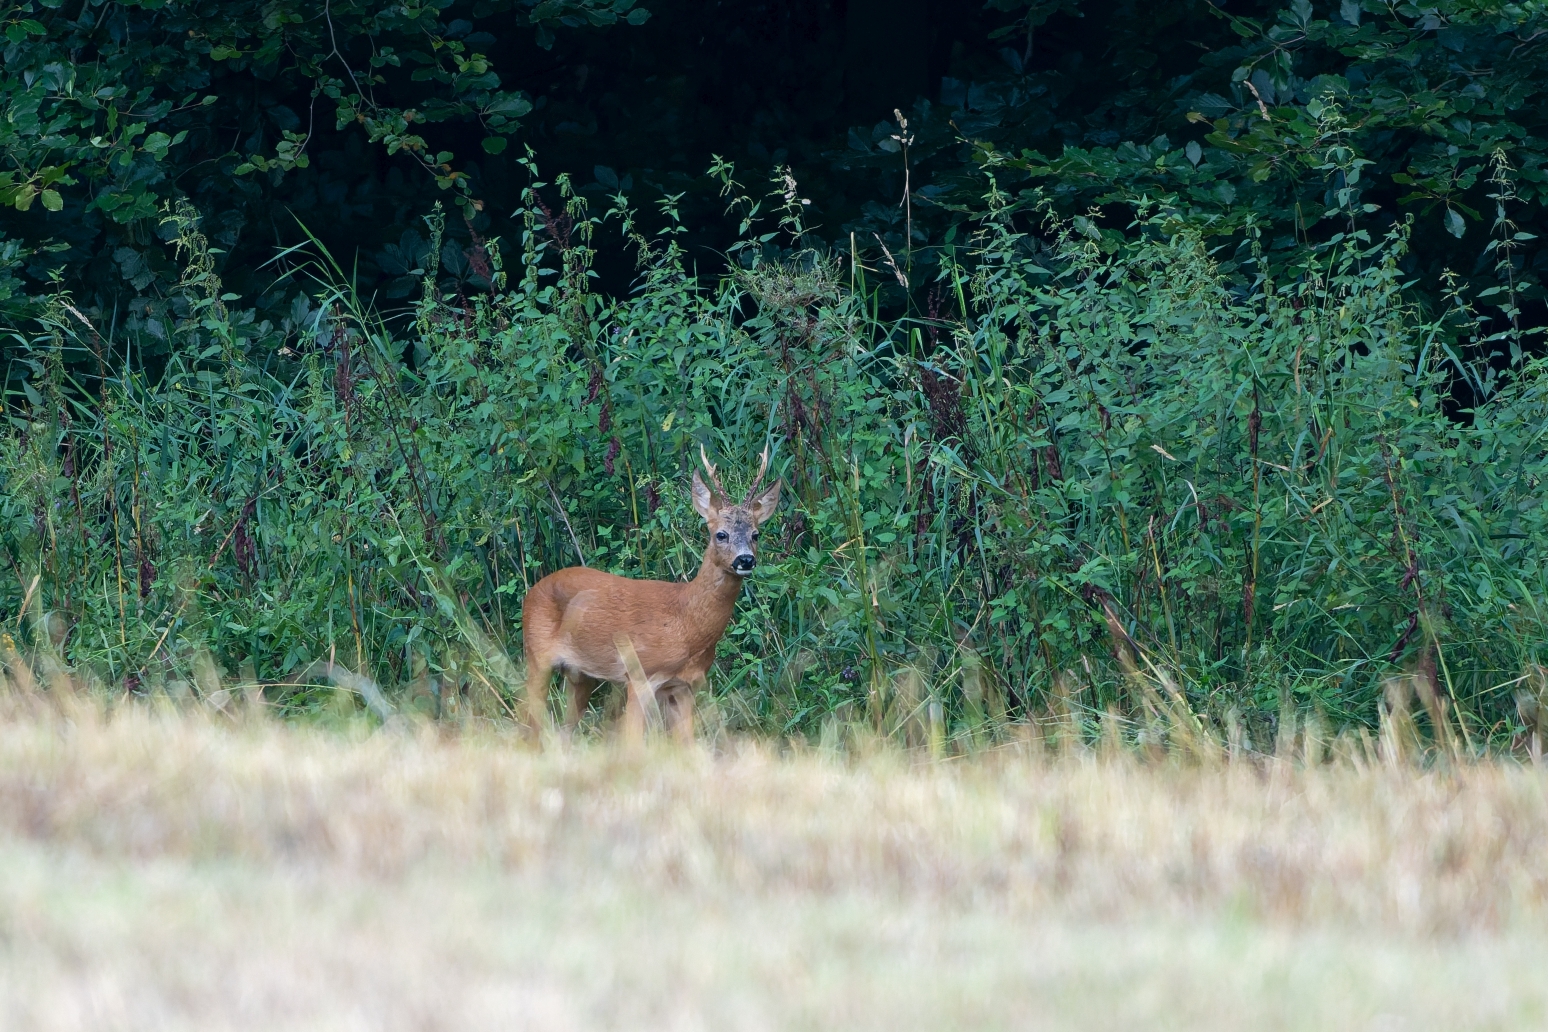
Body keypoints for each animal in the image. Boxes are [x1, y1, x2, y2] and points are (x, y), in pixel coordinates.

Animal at [521, 447, 781, 741]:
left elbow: (687, 742)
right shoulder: (640, 674)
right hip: (537, 655)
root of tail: (533, 590)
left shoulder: (685, 686)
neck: (685, 623)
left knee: (564, 729)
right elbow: (632, 741)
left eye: (756, 534)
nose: (745, 560)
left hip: (579, 674)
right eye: (721, 534)